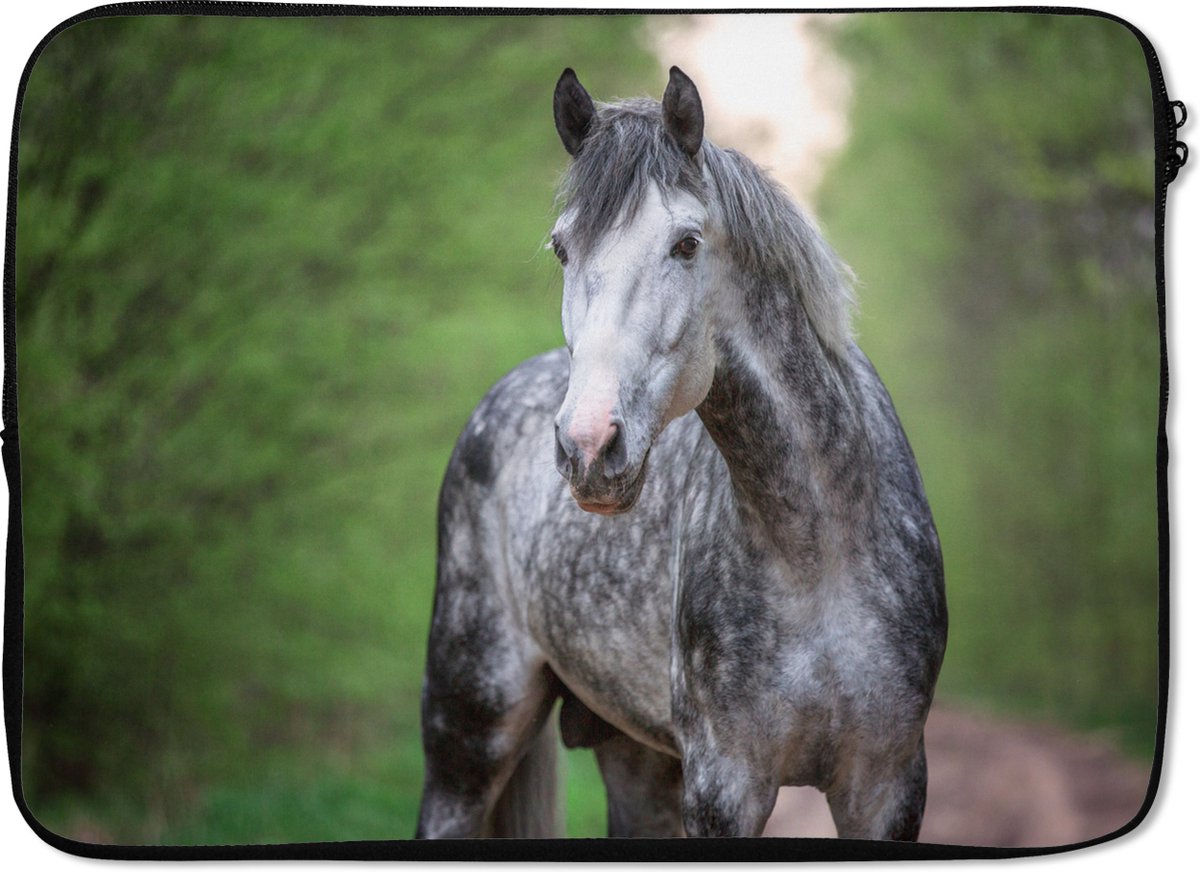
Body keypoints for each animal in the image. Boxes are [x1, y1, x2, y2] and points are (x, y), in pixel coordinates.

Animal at [416, 67, 947, 840]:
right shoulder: (724, 787)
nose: (587, 445)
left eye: (687, 244)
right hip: (467, 735)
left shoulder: (887, 786)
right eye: (561, 247)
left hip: (635, 760)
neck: (819, 554)